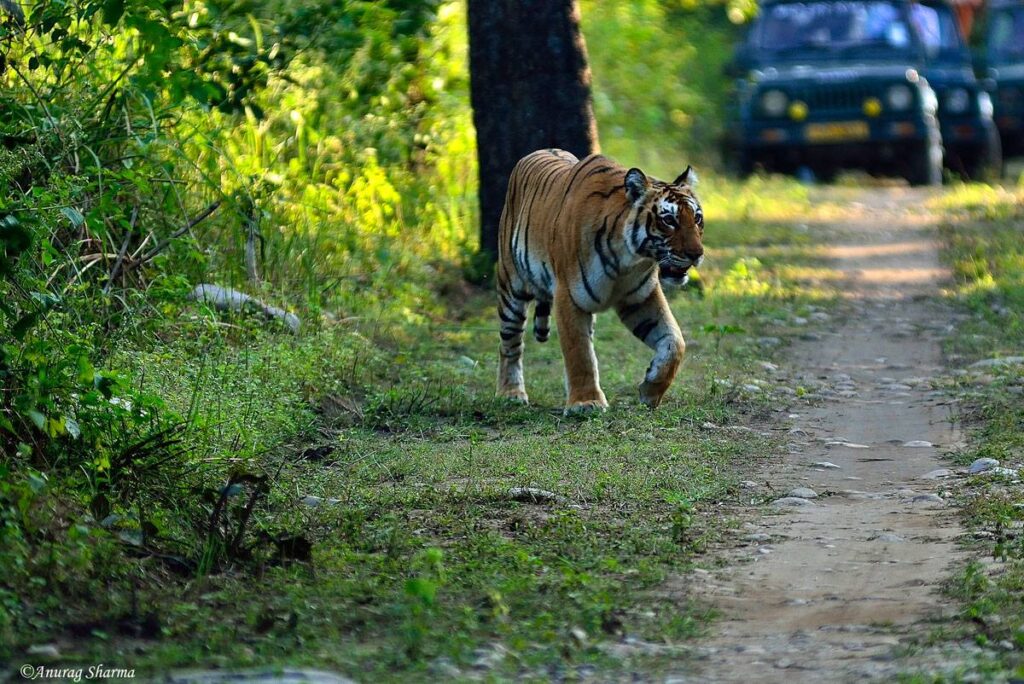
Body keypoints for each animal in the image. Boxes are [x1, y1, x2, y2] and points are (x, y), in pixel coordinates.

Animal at [495, 148, 704, 413]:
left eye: (697, 219)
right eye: (669, 220)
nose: (697, 254)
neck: (629, 259)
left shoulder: (640, 297)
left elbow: (674, 342)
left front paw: (650, 390)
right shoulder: (569, 296)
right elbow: (579, 352)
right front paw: (586, 403)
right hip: (511, 288)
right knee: (510, 344)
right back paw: (510, 393)